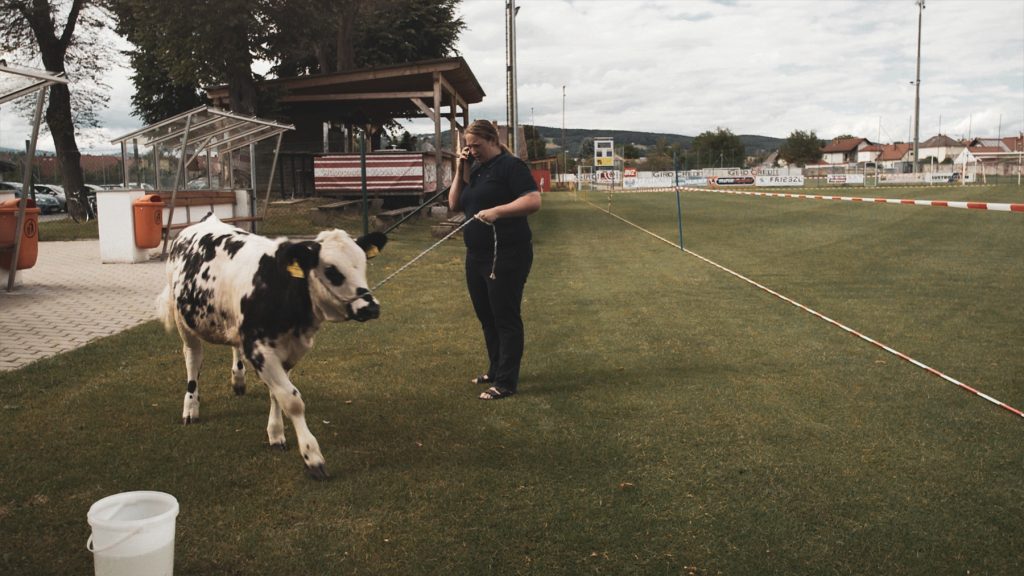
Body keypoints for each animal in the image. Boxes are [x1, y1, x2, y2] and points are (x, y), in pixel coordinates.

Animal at [157, 213, 385, 477]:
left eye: (363, 263)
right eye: (332, 270)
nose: (371, 307)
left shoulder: (288, 350)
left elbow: (277, 394)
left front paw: (276, 433)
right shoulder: (260, 349)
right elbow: (291, 400)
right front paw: (312, 456)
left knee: (233, 346)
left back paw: (238, 379)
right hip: (184, 321)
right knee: (193, 358)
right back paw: (191, 407)